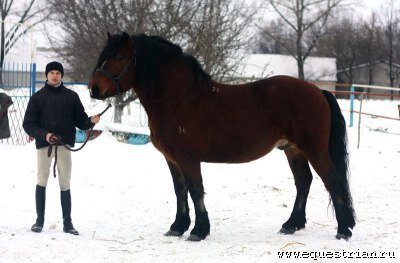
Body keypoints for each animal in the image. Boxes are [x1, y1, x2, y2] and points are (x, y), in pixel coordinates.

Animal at [88, 32, 356, 242]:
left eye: (119, 58)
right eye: (103, 56)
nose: (93, 89)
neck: (179, 99)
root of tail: (318, 91)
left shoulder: (188, 159)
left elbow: (195, 190)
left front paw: (199, 231)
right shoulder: (171, 159)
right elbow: (179, 191)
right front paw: (177, 227)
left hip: (314, 149)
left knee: (332, 180)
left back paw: (343, 230)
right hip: (293, 150)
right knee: (303, 182)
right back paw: (291, 225)